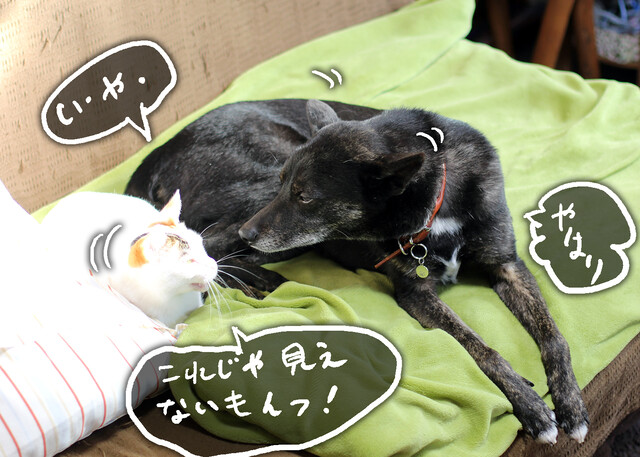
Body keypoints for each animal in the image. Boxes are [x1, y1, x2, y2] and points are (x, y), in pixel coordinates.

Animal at [126, 99, 588, 444]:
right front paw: (530, 406)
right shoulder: (415, 293)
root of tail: (153, 158)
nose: (250, 232)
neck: (438, 197)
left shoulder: (506, 265)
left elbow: (554, 336)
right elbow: (481, 349)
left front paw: (569, 403)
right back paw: (261, 280)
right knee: (207, 246)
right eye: (285, 184)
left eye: (304, 195)